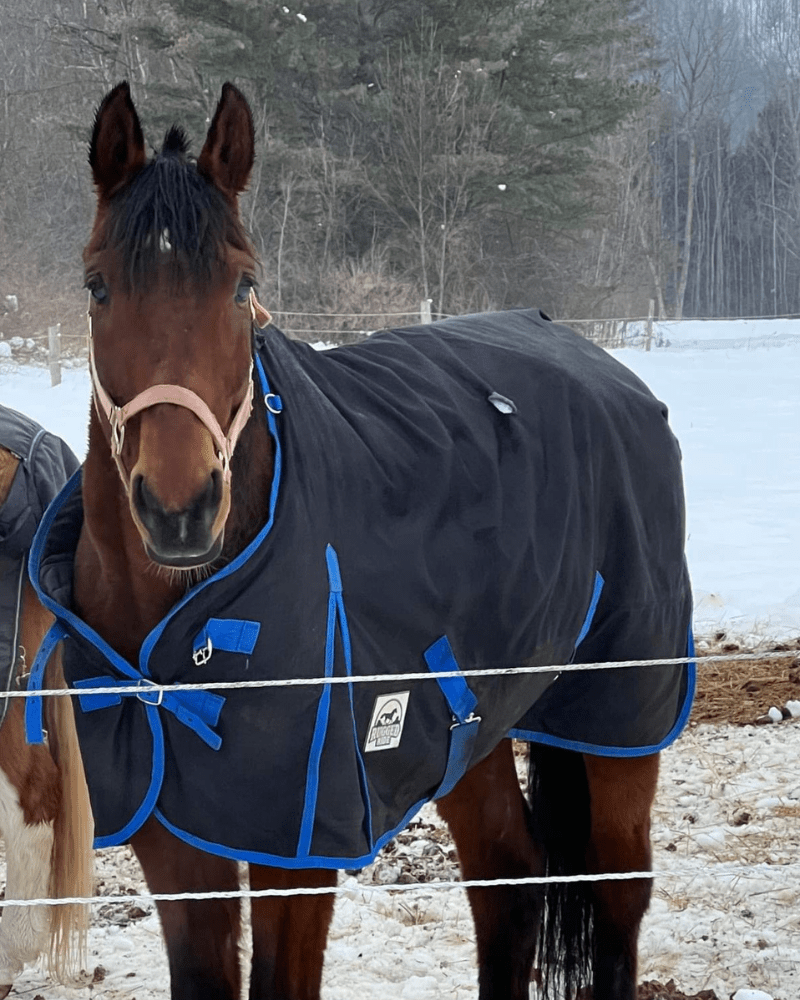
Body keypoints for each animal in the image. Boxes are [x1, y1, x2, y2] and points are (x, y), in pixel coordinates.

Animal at [26, 82, 692, 996]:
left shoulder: (298, 847)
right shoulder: (176, 835)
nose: (179, 509)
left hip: (621, 719)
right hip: (469, 733)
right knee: (507, 880)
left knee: (618, 890)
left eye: (242, 285)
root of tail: (599, 363)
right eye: (97, 286)